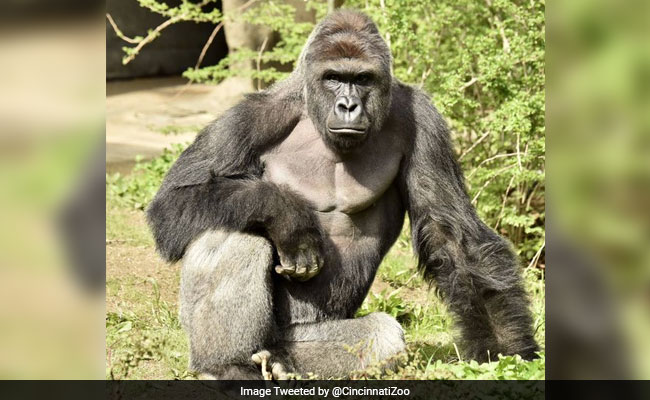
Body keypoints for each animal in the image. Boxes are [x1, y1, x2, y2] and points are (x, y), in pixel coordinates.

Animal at [147, 10, 539, 379]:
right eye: (334, 77)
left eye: (362, 79)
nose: (348, 106)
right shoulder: (251, 116)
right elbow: (173, 201)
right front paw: (287, 216)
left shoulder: (425, 122)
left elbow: (453, 236)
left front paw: (506, 350)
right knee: (231, 230)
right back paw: (225, 364)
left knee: (380, 336)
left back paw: (282, 362)